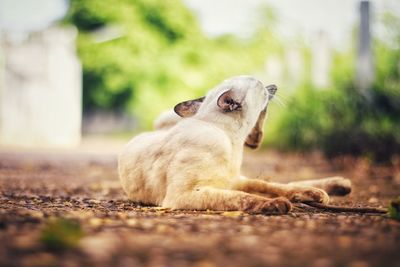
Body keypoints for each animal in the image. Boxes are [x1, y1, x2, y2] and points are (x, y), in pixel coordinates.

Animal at [119, 76, 350, 215]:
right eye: (258, 84)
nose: (272, 85)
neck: (231, 141)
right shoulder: (187, 193)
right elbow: (243, 198)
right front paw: (277, 204)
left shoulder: (235, 180)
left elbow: (269, 187)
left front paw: (312, 194)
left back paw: (334, 186)